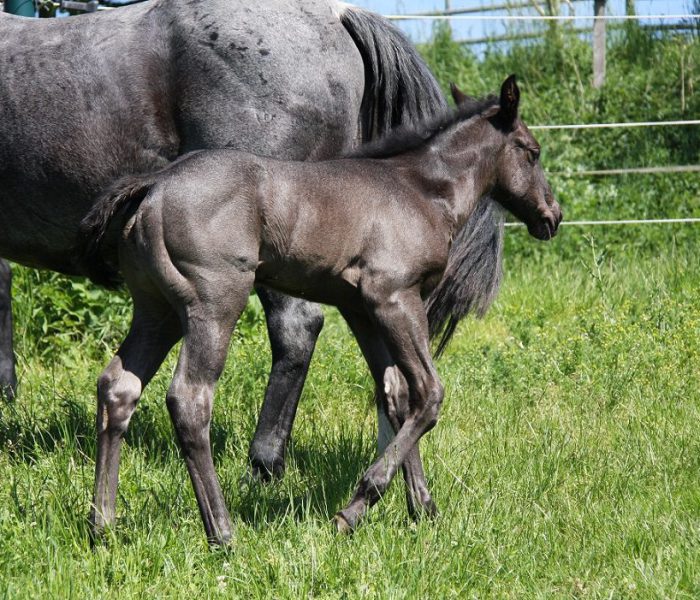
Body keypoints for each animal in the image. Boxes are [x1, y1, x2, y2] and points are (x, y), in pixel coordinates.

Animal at [78, 76, 562, 544]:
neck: (420, 190)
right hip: (214, 303)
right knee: (190, 399)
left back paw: (102, 525)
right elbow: (428, 393)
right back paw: (222, 533)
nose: (552, 215)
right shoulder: (395, 296)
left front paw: (422, 508)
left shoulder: (362, 309)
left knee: (119, 386)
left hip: (155, 310)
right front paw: (356, 508)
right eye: (532, 151)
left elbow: (396, 395)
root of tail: (155, 186)